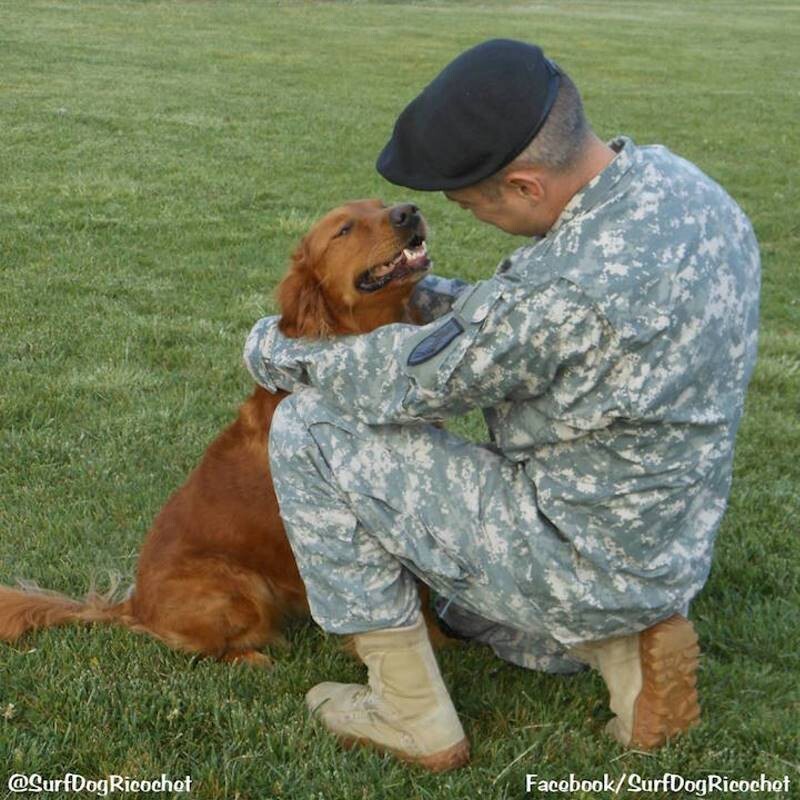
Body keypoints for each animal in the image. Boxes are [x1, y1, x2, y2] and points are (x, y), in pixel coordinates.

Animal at [0, 202, 444, 668]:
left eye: (381, 204)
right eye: (344, 229)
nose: (408, 211)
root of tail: (135, 604)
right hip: (240, 588)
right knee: (210, 648)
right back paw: (254, 656)